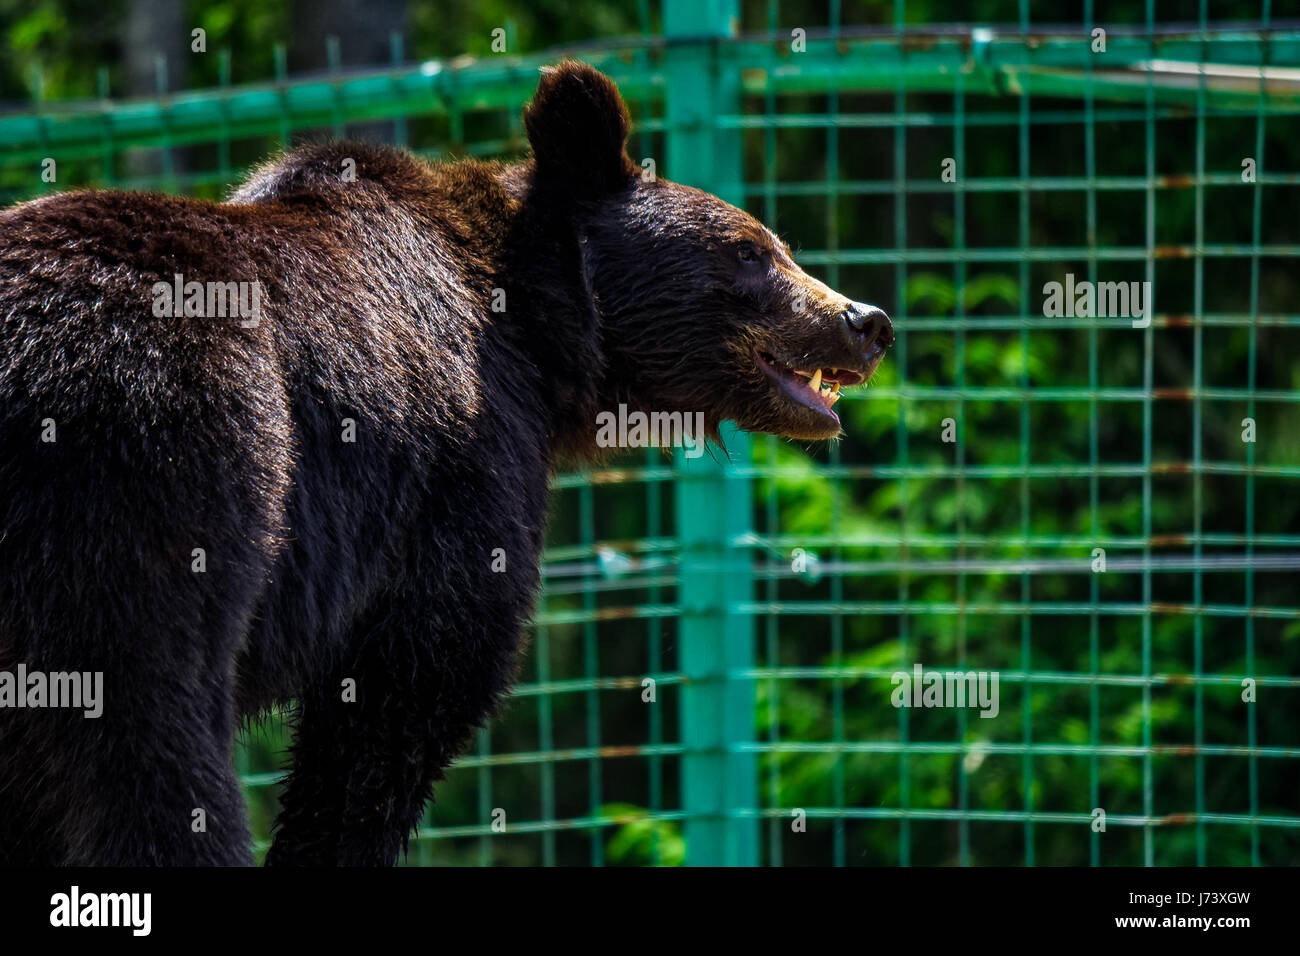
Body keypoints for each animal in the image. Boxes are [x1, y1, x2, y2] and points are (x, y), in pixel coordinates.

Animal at [0, 61, 892, 866]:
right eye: (749, 251)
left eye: (777, 245)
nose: (866, 320)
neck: (544, 336)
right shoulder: (459, 456)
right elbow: (422, 669)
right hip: (157, 458)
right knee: (150, 728)